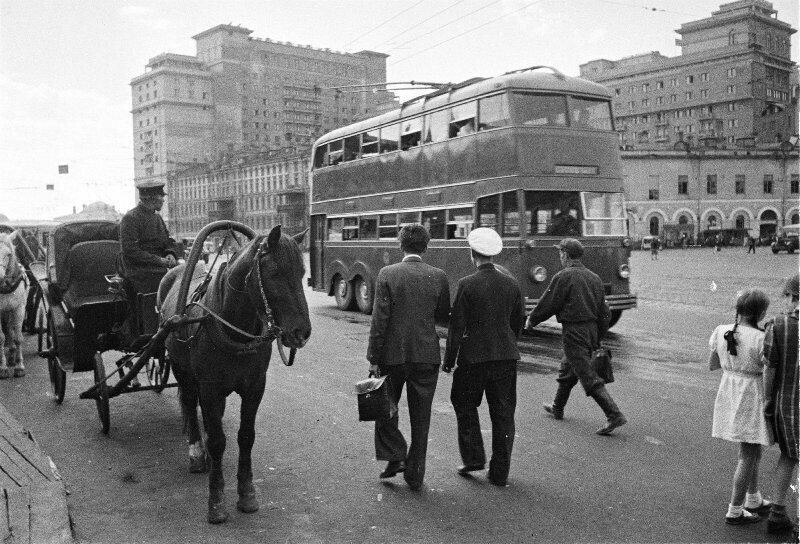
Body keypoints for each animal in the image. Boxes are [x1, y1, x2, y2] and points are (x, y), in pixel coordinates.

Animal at [159, 225, 312, 524]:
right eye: (274, 273)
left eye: (302, 272)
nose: (301, 332)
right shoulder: (210, 389)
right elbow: (218, 441)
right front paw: (216, 501)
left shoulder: (254, 388)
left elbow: (246, 437)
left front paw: (247, 493)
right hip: (182, 369)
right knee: (189, 402)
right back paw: (197, 452)